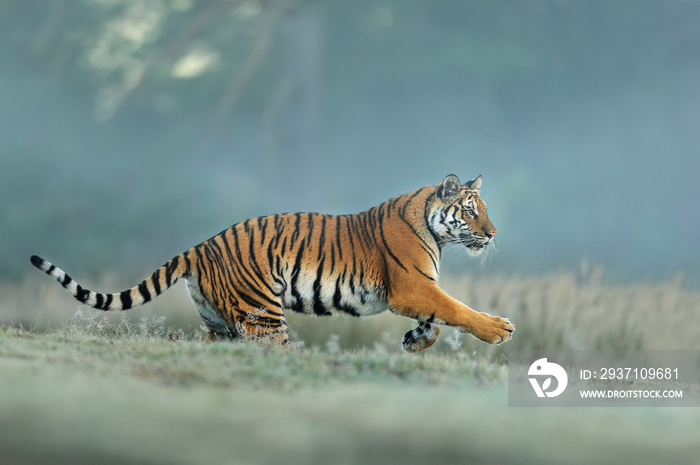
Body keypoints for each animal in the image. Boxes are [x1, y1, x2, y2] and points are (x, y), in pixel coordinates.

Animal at [31, 174, 516, 352]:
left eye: (484, 210)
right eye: (471, 211)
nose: (494, 234)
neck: (437, 232)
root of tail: (202, 246)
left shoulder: (417, 292)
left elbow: (439, 317)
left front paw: (416, 341)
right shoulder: (411, 286)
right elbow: (456, 308)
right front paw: (498, 329)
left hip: (219, 321)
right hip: (262, 315)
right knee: (273, 349)